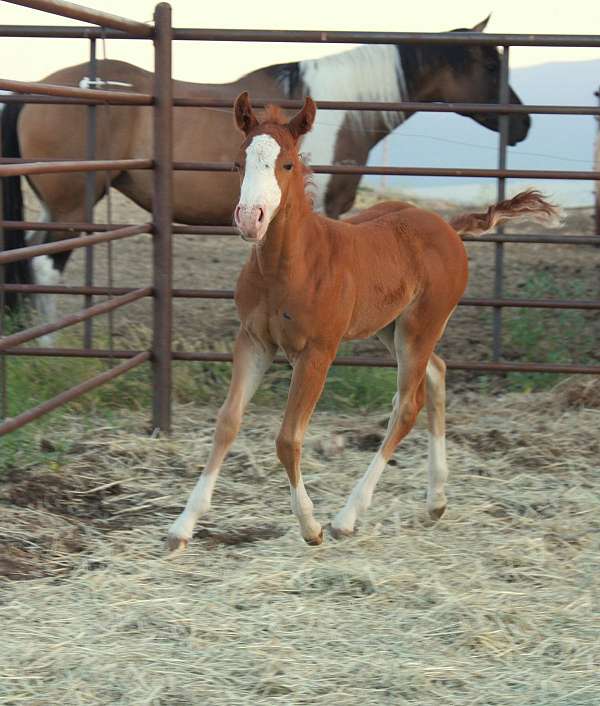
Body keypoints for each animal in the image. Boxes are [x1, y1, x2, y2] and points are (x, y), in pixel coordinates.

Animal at [3, 16, 528, 320]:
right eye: (490, 64)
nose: (522, 124)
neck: (343, 111)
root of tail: (38, 90)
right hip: (73, 205)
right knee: (46, 266)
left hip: (54, 207)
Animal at [165, 91, 556, 548]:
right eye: (237, 163)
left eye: (287, 164)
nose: (250, 218)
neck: (290, 265)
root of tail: (447, 226)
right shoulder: (253, 341)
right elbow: (227, 422)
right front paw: (183, 526)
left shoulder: (318, 351)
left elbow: (288, 438)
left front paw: (310, 526)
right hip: (391, 328)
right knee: (437, 372)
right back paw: (436, 499)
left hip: (420, 326)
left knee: (407, 405)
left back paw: (347, 516)